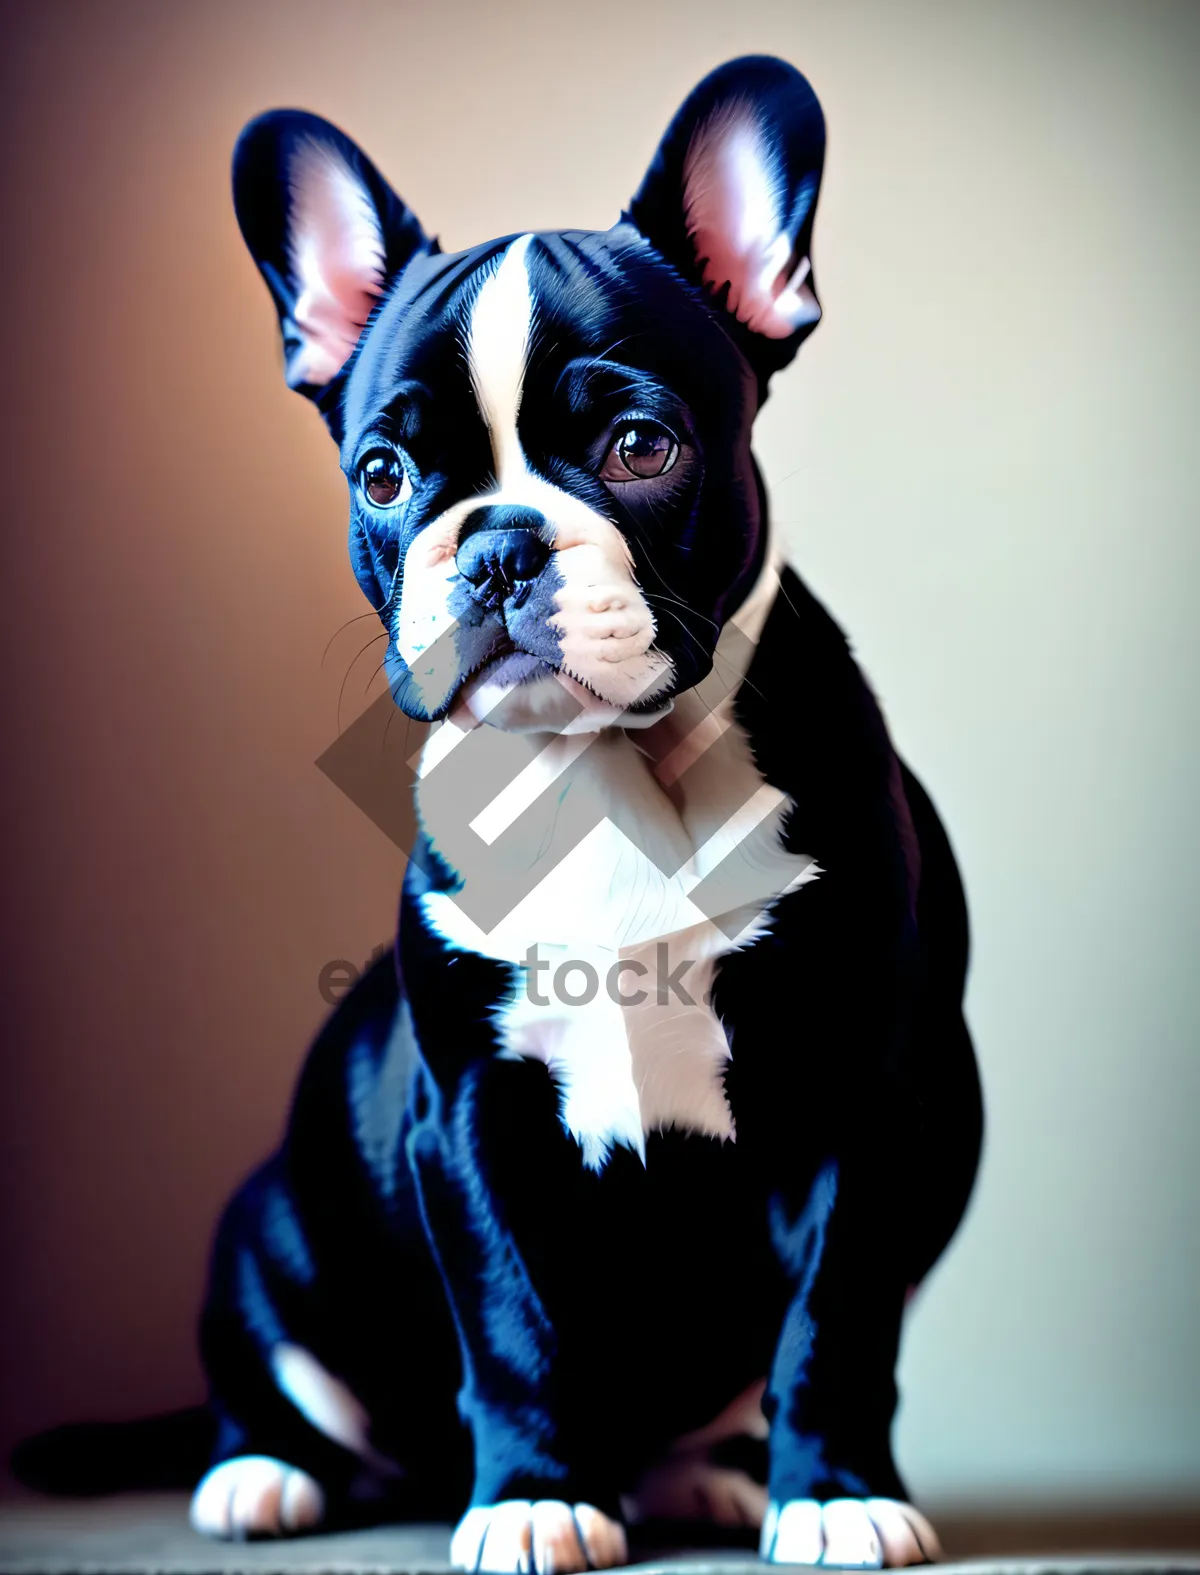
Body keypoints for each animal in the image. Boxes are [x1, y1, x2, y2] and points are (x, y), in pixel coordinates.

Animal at [193, 55, 982, 1568]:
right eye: (383, 475)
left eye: (639, 446)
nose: (498, 544)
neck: (607, 771)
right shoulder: (469, 1117)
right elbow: (511, 1322)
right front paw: (535, 1496)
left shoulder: (869, 1099)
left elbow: (837, 1316)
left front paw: (835, 1491)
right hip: (273, 1223)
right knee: (282, 1373)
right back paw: (267, 1470)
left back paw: (714, 1474)